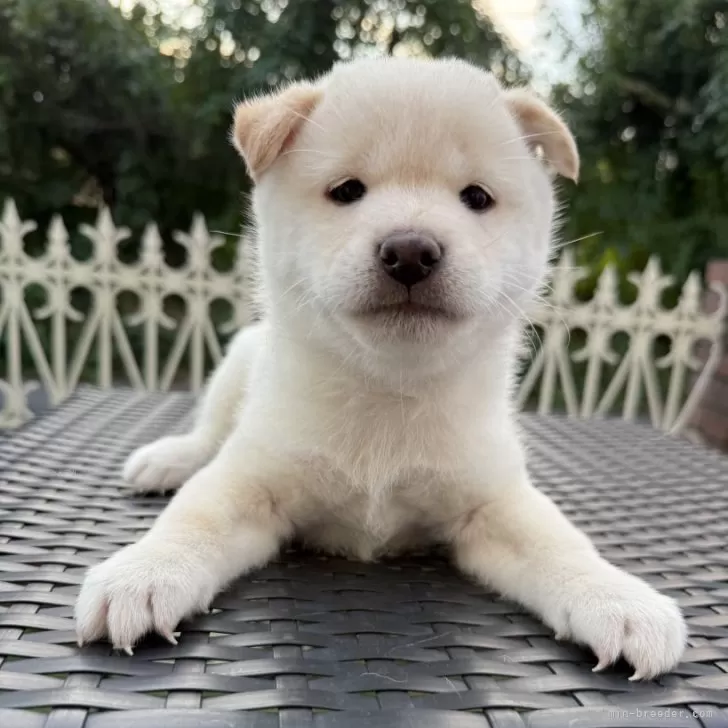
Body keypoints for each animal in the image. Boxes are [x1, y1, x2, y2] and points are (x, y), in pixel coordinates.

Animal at [77, 57, 684, 684]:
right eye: (347, 191)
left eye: (476, 197)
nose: (411, 251)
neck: (390, 392)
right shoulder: (254, 481)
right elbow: (194, 517)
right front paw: (144, 573)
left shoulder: (491, 504)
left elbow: (560, 543)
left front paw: (618, 599)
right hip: (239, 362)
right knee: (209, 435)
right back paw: (168, 459)